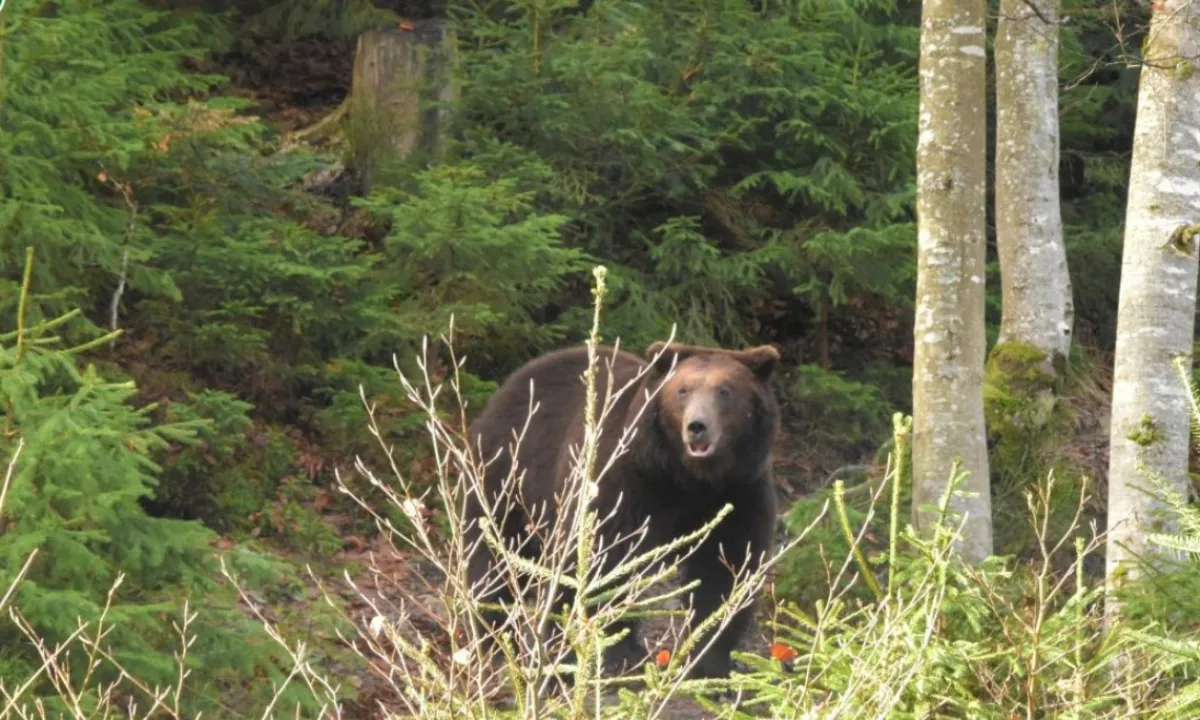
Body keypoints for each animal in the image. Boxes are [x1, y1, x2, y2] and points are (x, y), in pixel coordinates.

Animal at [462, 340, 780, 679]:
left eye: (725, 390)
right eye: (682, 390)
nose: (697, 426)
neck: (687, 478)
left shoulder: (738, 491)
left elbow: (726, 567)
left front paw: (707, 660)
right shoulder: (622, 481)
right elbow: (604, 558)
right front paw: (615, 652)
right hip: (509, 469)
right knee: (494, 552)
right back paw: (494, 633)